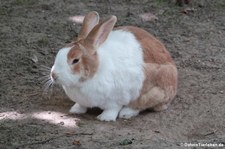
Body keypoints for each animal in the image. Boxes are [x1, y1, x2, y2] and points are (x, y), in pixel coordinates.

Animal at [50, 11, 178, 121]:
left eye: (75, 60)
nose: (53, 75)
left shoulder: (116, 99)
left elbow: (113, 109)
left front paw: (105, 118)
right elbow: (81, 105)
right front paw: (75, 110)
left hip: (152, 91)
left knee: (142, 105)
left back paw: (126, 113)